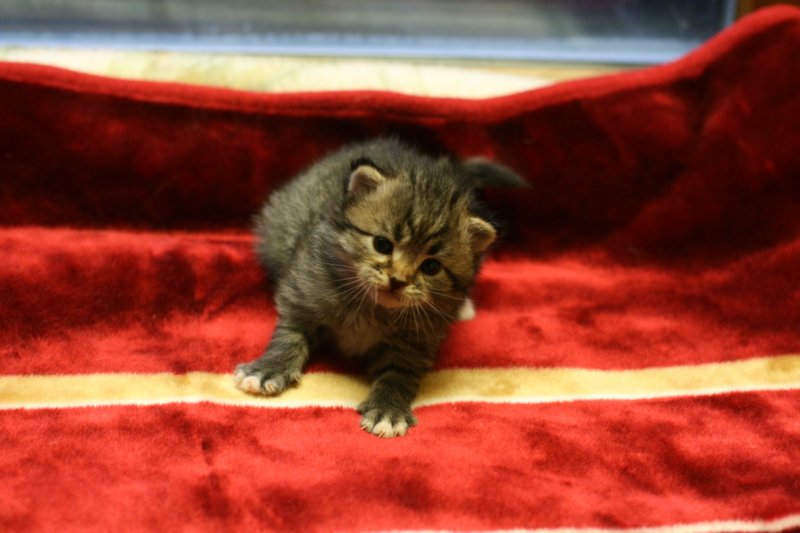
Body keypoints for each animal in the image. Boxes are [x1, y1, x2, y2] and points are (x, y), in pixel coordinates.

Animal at [234, 138, 524, 437]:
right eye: (382, 244)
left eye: (431, 267)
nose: (397, 280)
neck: (371, 307)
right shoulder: (303, 290)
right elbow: (290, 333)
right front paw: (269, 368)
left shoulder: (417, 340)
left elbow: (399, 372)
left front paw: (388, 409)